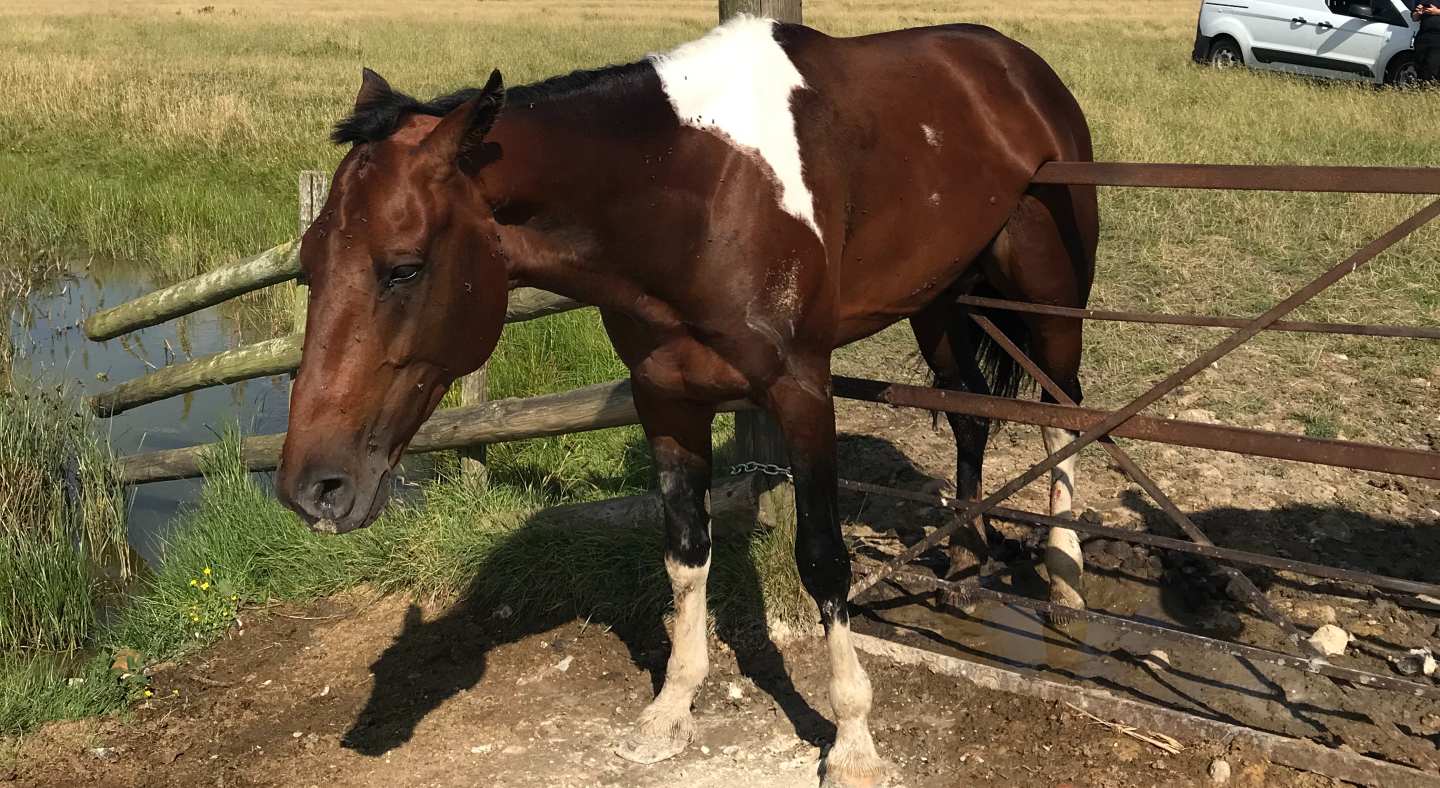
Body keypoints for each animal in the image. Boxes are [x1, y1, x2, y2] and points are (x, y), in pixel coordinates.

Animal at [276, 15, 1097, 786]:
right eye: (307, 265)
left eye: (403, 268)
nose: (313, 489)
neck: (696, 193)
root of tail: (1014, 64)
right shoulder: (666, 399)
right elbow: (685, 553)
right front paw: (670, 710)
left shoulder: (802, 391)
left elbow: (823, 560)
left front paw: (854, 743)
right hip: (941, 299)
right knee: (970, 412)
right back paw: (963, 559)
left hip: (1050, 297)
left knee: (1064, 412)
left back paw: (1064, 579)